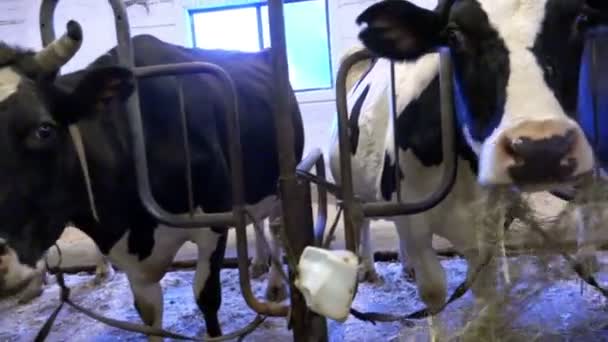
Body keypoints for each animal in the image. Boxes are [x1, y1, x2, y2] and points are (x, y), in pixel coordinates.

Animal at [0, 22, 304, 340]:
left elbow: (207, 296)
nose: (2, 258)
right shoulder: (129, 258)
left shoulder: (214, 222)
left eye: (43, 129)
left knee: (275, 225)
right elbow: (148, 314)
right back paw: (257, 264)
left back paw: (274, 285)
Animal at [330, 0, 608, 316]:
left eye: (580, 20)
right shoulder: (415, 222)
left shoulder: (485, 226)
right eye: (453, 34)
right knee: (361, 221)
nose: (541, 149)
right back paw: (368, 269)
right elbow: (434, 292)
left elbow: (486, 291)